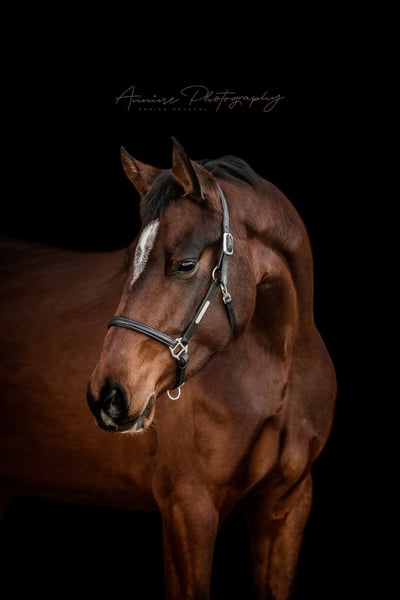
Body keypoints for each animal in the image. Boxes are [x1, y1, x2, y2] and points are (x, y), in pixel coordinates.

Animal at [0, 137, 336, 599]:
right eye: (130, 260)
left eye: (186, 264)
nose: (107, 395)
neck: (280, 372)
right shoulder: (188, 509)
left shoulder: (287, 505)